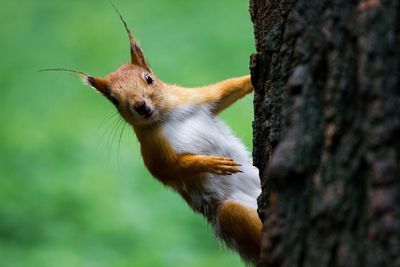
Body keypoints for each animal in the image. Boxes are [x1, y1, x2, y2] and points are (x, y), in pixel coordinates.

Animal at [45, 9, 262, 266]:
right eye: (114, 99)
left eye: (149, 78)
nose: (139, 105)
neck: (166, 117)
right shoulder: (153, 151)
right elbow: (170, 169)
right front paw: (212, 163)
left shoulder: (196, 97)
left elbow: (226, 90)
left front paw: (253, 72)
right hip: (231, 212)